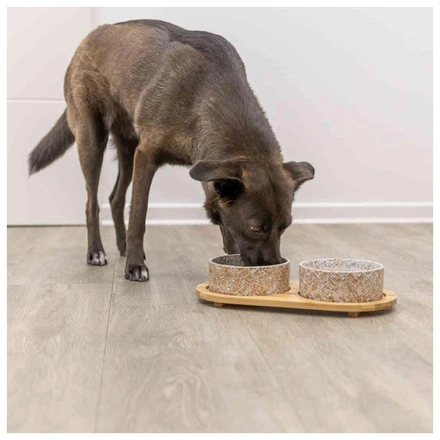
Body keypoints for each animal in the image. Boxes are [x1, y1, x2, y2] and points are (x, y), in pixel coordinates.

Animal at [27, 18, 314, 280]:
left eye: (285, 226)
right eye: (256, 229)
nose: (274, 266)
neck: (206, 93)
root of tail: (91, 36)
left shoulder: (206, 170)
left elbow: (225, 226)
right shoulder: (147, 157)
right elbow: (139, 215)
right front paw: (135, 266)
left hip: (128, 149)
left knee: (115, 198)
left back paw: (122, 246)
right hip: (92, 139)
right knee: (92, 203)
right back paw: (96, 252)